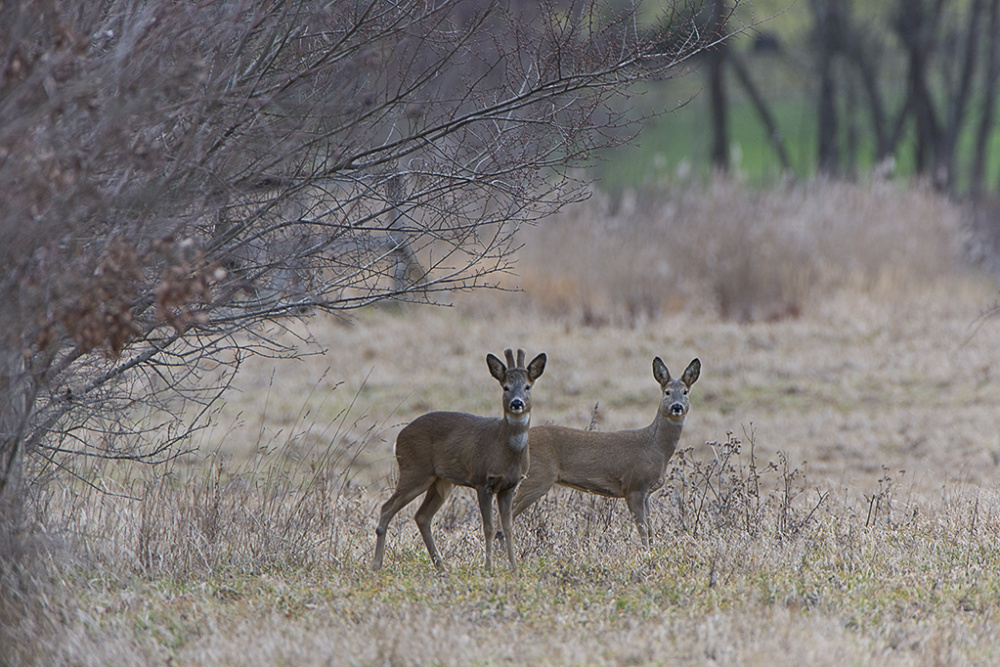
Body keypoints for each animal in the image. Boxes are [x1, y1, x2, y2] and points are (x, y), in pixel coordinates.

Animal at [374, 348, 548, 572]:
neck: (504, 449)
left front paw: (514, 569)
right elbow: (489, 527)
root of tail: (398, 438)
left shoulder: (509, 487)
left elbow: (508, 527)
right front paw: (488, 568)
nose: (516, 403)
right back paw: (377, 564)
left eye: (527, 386)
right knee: (387, 508)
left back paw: (442, 567)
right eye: (505, 387)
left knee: (422, 516)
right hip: (415, 471)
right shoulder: (483, 481)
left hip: (441, 481)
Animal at [504, 358, 700, 552]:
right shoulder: (634, 485)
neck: (655, 448)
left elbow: (650, 529)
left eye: (685, 392)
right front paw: (647, 554)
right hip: (537, 476)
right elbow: (643, 530)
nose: (677, 406)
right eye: (667, 392)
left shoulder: (646, 492)